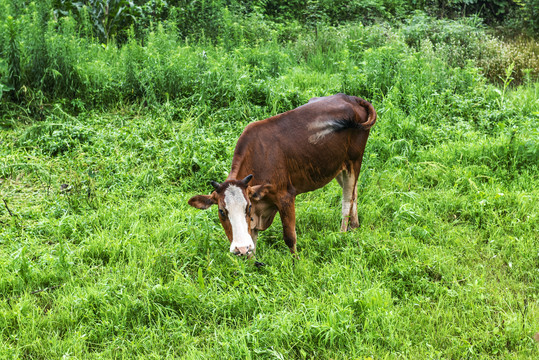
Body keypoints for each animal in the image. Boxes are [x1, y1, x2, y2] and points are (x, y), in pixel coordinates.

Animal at [190, 93, 380, 256]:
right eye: (222, 211)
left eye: (247, 207)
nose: (240, 248)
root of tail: (351, 98)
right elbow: (253, 242)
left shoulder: (286, 197)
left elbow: (289, 237)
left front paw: (296, 264)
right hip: (338, 166)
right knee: (354, 193)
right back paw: (354, 226)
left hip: (354, 161)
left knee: (347, 199)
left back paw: (342, 233)